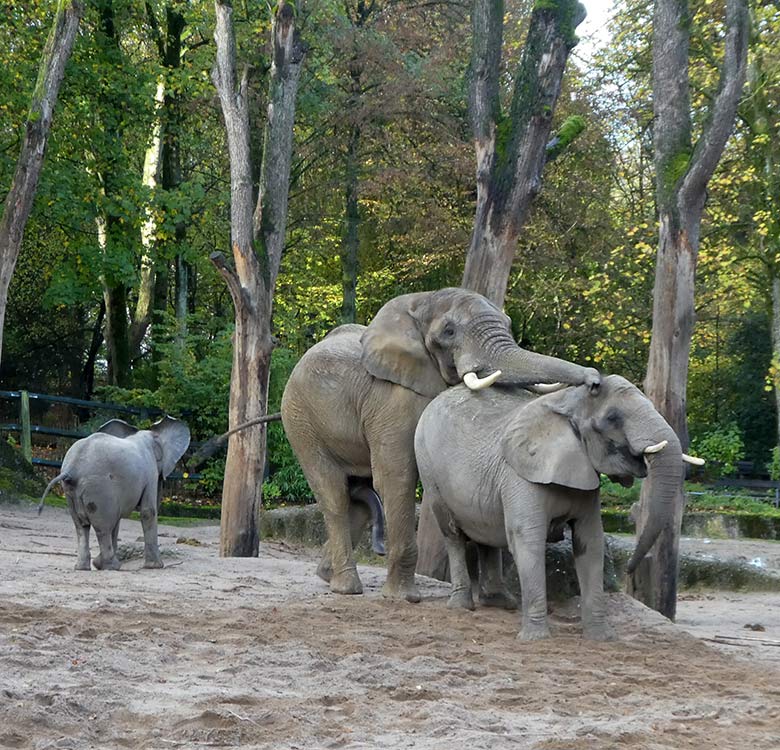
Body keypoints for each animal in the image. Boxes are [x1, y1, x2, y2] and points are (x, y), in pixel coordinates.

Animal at [38, 418, 191, 568]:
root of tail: (71, 469)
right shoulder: (150, 472)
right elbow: (148, 512)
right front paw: (155, 566)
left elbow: (118, 519)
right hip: (99, 488)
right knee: (102, 527)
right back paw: (111, 566)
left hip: (71, 491)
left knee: (81, 526)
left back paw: (84, 567)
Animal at [284, 288, 600, 604]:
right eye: (449, 331)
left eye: (509, 325)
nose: (595, 380)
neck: (420, 302)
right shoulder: (392, 398)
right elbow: (397, 477)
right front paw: (404, 598)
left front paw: (502, 602)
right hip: (301, 420)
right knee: (335, 494)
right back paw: (346, 587)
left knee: (359, 499)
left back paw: (328, 575)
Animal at [414, 378, 700, 644]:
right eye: (612, 417)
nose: (629, 570)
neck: (566, 401)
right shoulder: (521, 475)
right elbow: (527, 539)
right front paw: (535, 639)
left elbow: (590, 543)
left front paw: (602, 638)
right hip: (428, 466)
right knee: (452, 534)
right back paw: (462, 605)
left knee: (486, 535)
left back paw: (501, 603)